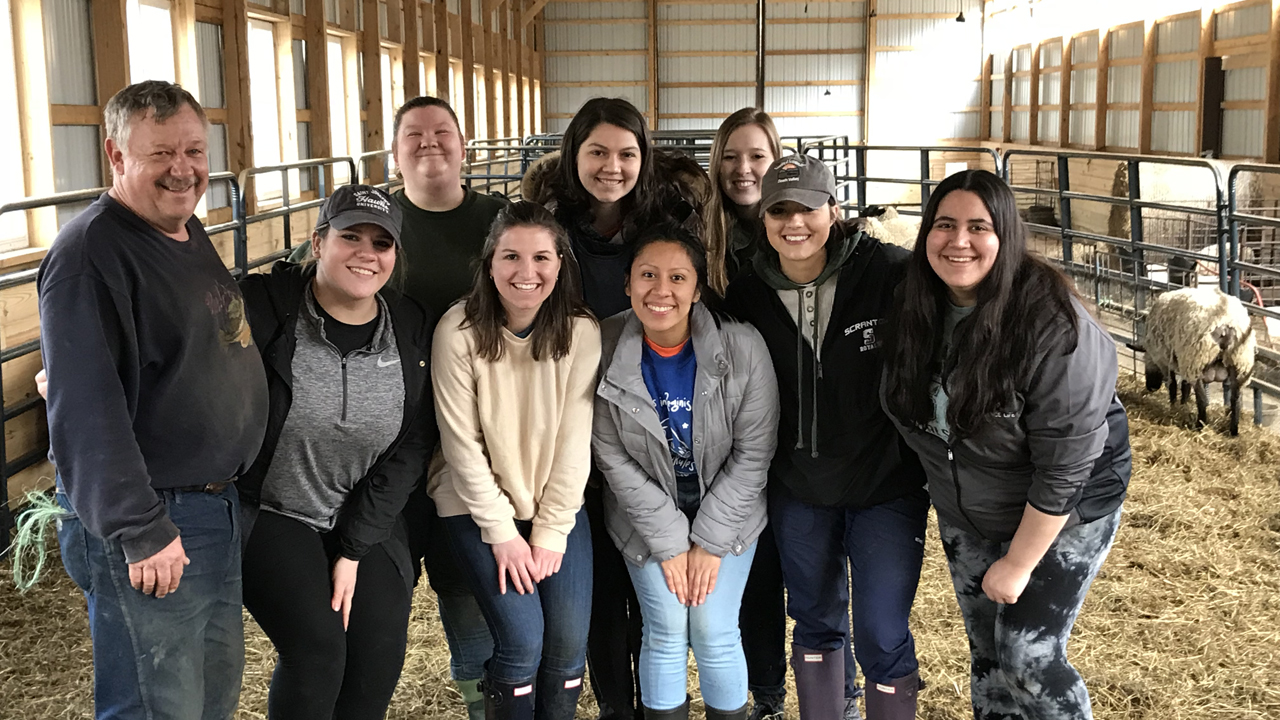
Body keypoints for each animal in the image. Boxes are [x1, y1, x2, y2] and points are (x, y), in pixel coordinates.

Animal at [1136, 284, 1254, 430]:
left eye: (1145, 360)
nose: (1151, 387)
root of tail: (1225, 324)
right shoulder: (1182, 359)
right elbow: (1185, 386)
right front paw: (1183, 404)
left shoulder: (1165, 359)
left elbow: (1173, 385)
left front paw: (1174, 407)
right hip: (1239, 363)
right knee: (1236, 400)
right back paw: (1233, 430)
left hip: (1196, 360)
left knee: (1202, 399)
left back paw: (1200, 425)